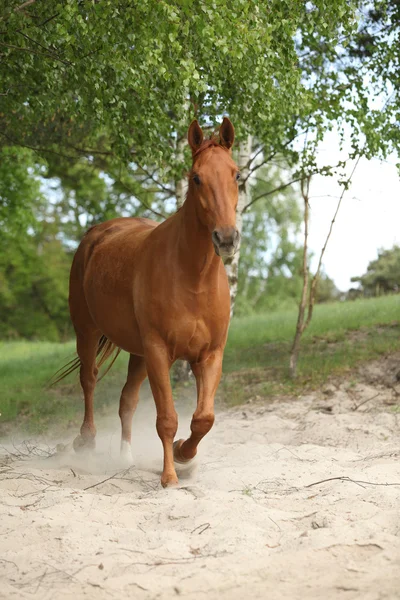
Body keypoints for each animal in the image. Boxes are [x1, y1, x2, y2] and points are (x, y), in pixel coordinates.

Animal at [57, 118, 239, 488]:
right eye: (196, 177)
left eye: (236, 175)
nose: (226, 238)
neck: (192, 277)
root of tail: (97, 234)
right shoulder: (158, 351)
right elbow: (167, 418)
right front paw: (169, 476)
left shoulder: (209, 355)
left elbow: (203, 418)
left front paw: (185, 453)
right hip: (87, 331)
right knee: (89, 379)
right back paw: (86, 440)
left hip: (138, 353)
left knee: (127, 399)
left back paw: (126, 457)